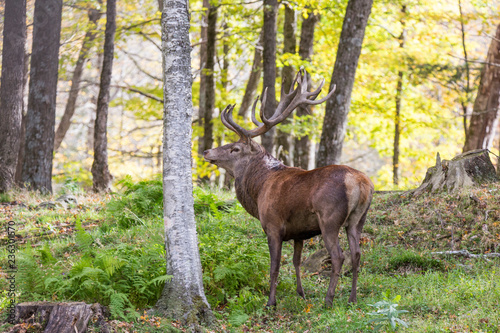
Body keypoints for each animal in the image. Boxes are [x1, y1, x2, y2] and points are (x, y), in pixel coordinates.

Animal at [202, 70, 372, 306]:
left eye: (234, 148)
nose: (207, 151)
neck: (258, 190)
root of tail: (361, 183)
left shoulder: (273, 225)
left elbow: (274, 266)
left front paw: (270, 302)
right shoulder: (299, 232)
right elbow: (296, 261)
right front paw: (301, 293)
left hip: (329, 218)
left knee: (339, 256)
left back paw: (328, 300)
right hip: (358, 219)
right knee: (357, 254)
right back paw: (352, 298)